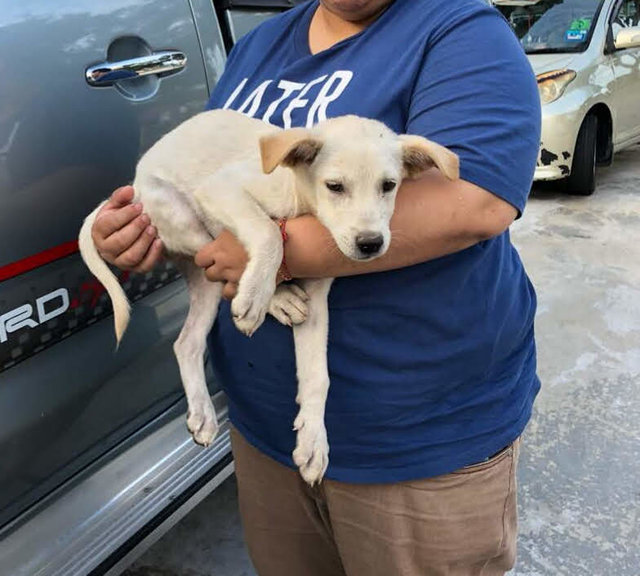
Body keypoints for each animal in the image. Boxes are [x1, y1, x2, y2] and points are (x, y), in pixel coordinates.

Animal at [79, 109, 460, 486]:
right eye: (335, 187)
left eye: (389, 186)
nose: (370, 243)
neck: (298, 197)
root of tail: (136, 182)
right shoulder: (223, 189)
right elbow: (268, 232)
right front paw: (259, 294)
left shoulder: (317, 295)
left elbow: (318, 375)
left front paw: (313, 441)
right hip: (186, 220)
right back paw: (271, 298)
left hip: (203, 279)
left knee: (186, 343)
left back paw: (202, 411)